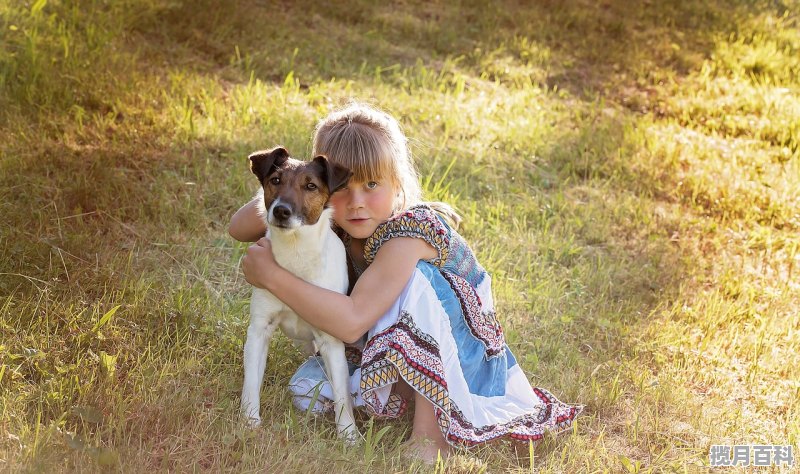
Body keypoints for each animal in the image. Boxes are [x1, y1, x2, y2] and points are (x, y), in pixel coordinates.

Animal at [239, 146, 358, 442]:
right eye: (275, 180)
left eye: (311, 186)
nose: (281, 211)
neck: (295, 257)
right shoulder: (259, 329)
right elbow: (251, 381)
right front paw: (249, 421)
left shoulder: (331, 340)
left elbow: (342, 395)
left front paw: (349, 435)